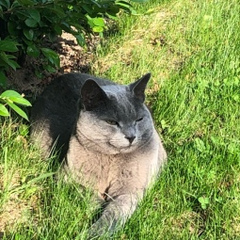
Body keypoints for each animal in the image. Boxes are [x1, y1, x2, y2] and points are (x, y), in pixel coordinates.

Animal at [30, 72, 167, 238]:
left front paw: (92, 233)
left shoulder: (130, 191)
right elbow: (86, 193)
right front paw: (97, 205)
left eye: (139, 119)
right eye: (112, 122)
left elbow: (113, 215)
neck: (111, 160)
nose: (131, 136)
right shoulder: (65, 177)